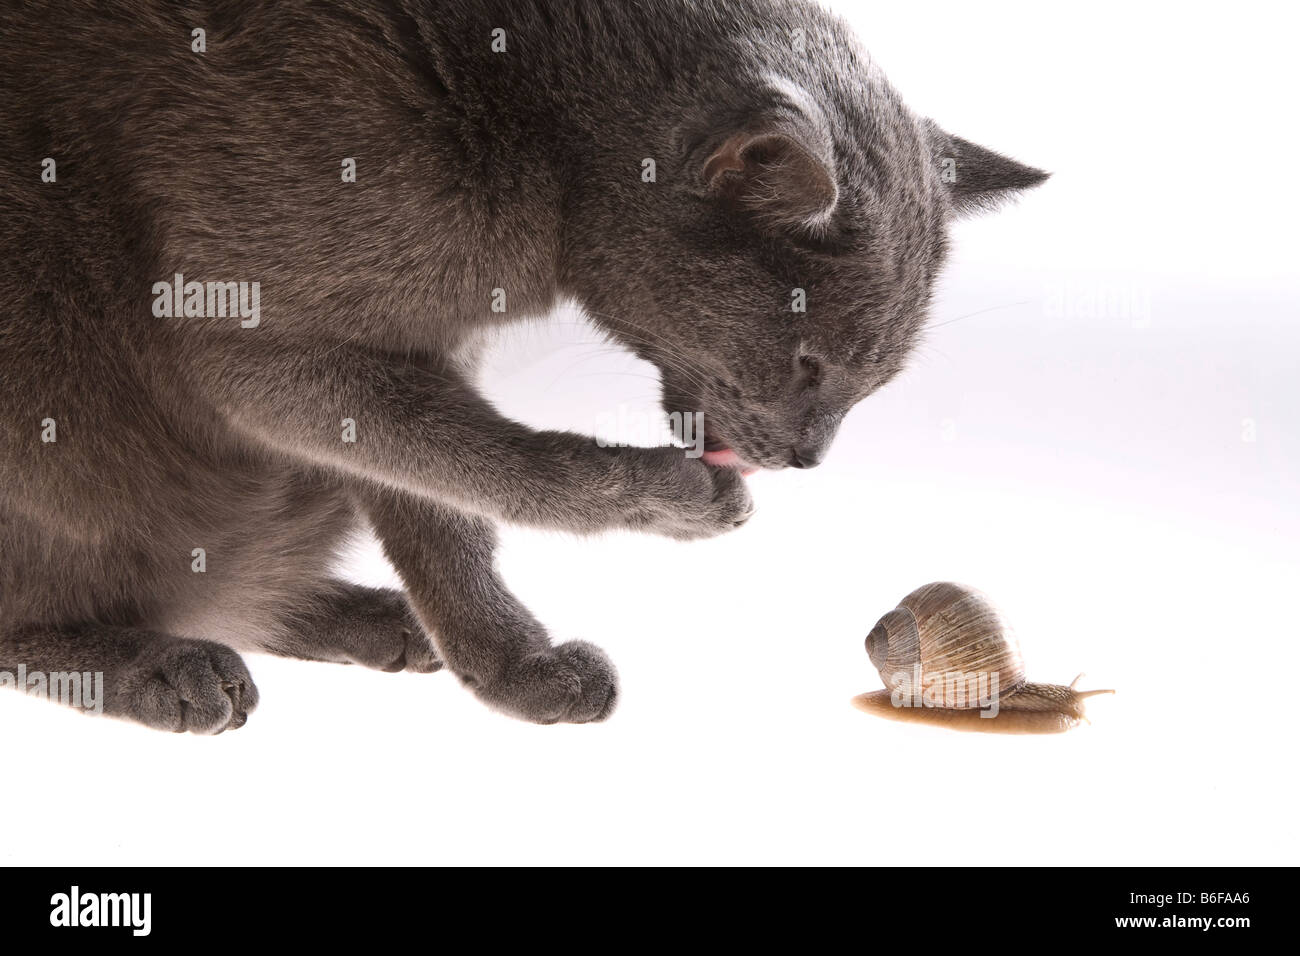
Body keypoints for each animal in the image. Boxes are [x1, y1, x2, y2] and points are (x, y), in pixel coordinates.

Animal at [0, 0, 1045, 733]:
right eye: (809, 360)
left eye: (876, 380)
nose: (808, 458)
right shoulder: (255, 342)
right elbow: (507, 467)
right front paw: (670, 501)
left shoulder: (419, 351)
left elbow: (441, 503)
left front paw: (511, 667)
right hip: (43, 341)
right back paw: (158, 666)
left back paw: (360, 618)